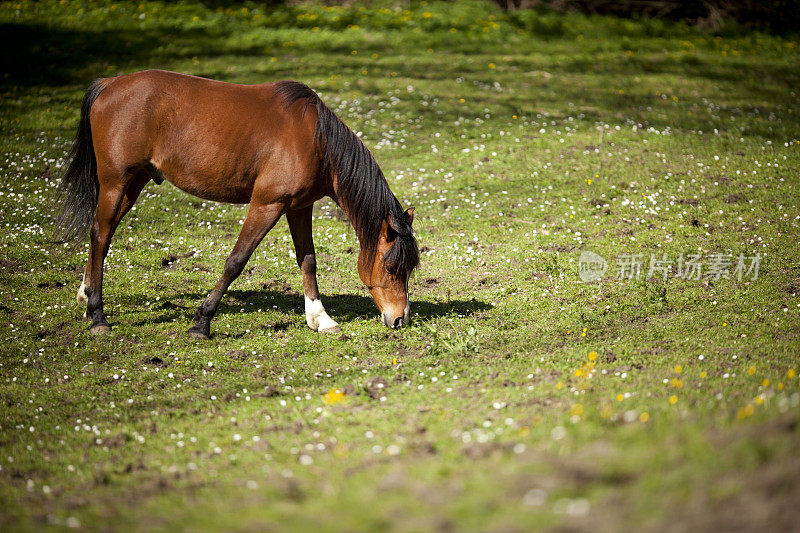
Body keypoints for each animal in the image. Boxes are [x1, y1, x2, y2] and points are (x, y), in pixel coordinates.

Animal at [55, 69, 418, 336]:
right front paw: (202, 322)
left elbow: (308, 260)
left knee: (102, 234)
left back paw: (87, 295)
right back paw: (98, 316)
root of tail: (109, 84)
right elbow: (236, 261)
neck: (316, 141)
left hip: (133, 183)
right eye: (391, 267)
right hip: (115, 183)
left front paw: (320, 318)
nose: (401, 318)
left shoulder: (299, 207)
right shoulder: (267, 205)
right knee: (100, 234)